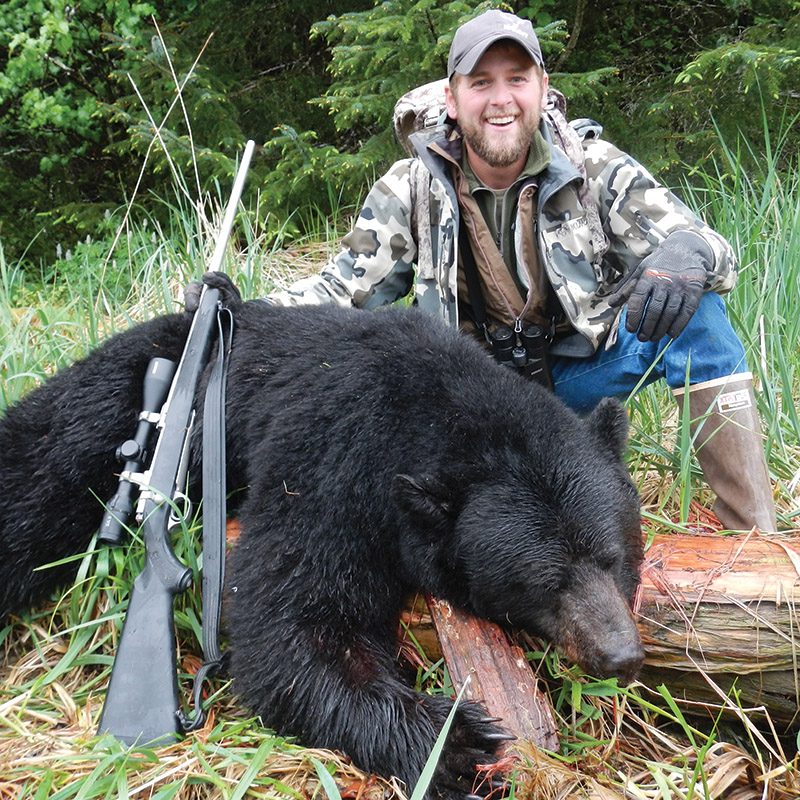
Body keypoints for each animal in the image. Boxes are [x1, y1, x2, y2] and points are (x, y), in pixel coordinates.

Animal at [0, 295, 645, 799]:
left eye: (613, 558)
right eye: (545, 582)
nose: (621, 656)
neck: (437, 411)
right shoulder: (334, 457)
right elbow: (295, 623)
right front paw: (457, 743)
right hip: (117, 394)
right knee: (37, 470)